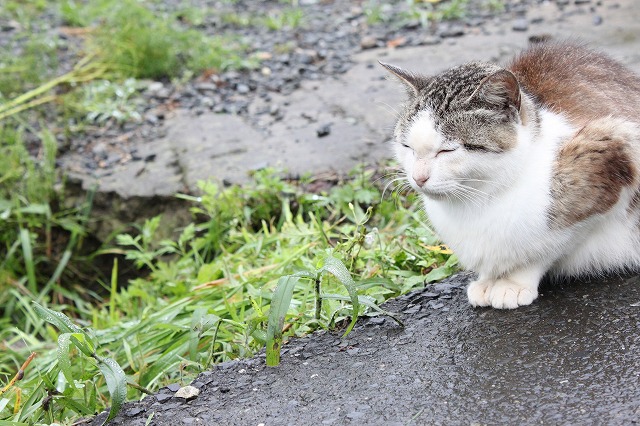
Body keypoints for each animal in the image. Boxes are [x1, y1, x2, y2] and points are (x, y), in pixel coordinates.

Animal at [380, 42, 640, 310]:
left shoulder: (612, 149)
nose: (418, 177)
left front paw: (513, 282)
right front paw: (488, 280)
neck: (477, 200)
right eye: (407, 146)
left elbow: (551, 245)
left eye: (447, 150)